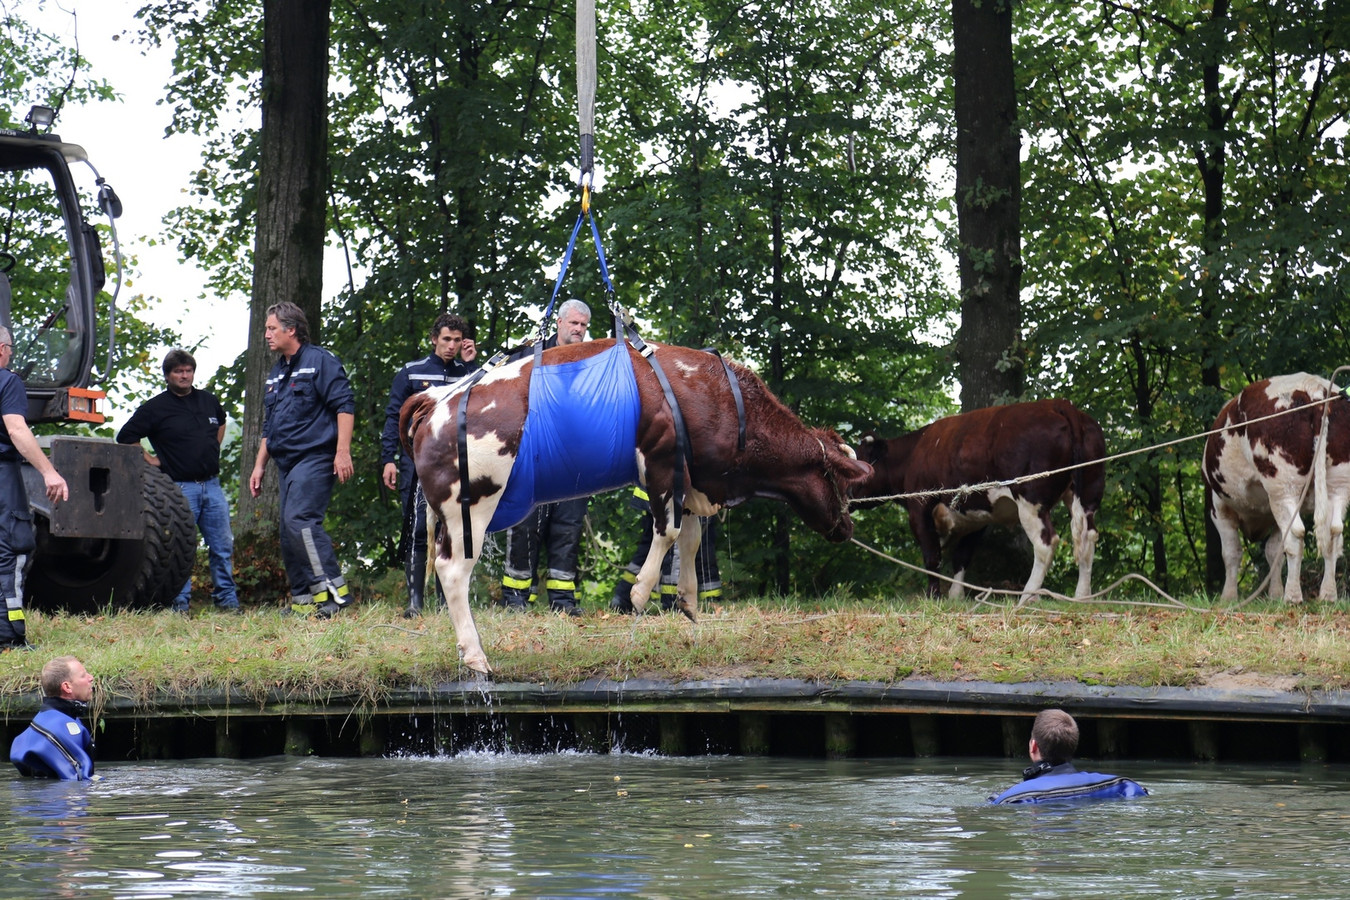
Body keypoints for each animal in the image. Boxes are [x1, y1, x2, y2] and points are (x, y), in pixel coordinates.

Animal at [401, 337, 873, 675]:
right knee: (453, 571)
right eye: (841, 484)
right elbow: (669, 531)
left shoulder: (689, 480)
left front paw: (688, 601)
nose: (847, 529)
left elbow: (691, 538)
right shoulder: (662, 462)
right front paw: (641, 593)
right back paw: (475, 655)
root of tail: (436, 401)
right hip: (472, 509)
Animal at [854, 399, 1106, 602]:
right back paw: (1082, 597)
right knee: (1088, 537)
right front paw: (956, 596)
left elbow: (932, 556)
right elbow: (961, 556)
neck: (914, 452)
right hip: (1087, 493)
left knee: (1046, 543)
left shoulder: (920, 509)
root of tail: (1059, 404)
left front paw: (933, 596)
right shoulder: (977, 517)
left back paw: (1027, 597)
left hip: (1031, 499)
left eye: (860, 460)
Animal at [1202, 373, 1350, 604]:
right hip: (1338, 483)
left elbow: (1232, 552)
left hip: (1283, 486)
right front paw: (1274, 593)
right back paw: (1327, 594)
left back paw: (1293, 596)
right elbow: (1274, 551)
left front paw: (1229, 597)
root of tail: (1312, 386)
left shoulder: (1219, 507)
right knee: (1334, 532)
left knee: (1296, 536)